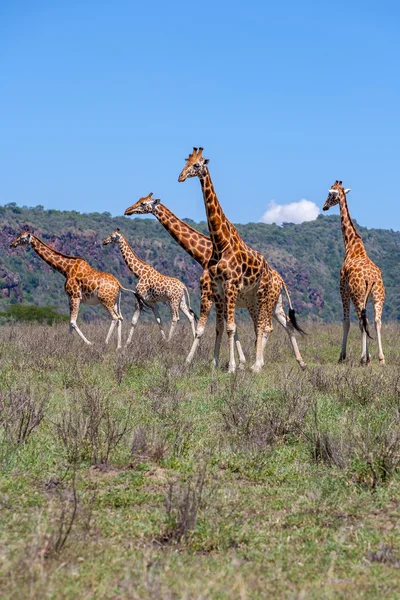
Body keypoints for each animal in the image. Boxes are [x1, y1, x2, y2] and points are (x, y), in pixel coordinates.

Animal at [125, 195, 306, 370]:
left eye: (143, 203)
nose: (128, 210)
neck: (205, 255)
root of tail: (280, 279)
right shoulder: (221, 297)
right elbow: (227, 327)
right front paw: (236, 362)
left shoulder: (209, 293)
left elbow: (219, 327)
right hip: (274, 304)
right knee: (285, 324)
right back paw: (299, 363)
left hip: (260, 302)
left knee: (265, 326)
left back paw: (258, 363)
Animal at [322, 180, 384, 364]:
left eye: (330, 194)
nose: (324, 206)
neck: (351, 245)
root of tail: (371, 278)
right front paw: (369, 356)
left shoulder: (343, 289)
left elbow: (347, 322)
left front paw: (342, 356)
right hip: (377, 295)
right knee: (376, 320)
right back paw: (381, 358)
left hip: (357, 294)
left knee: (363, 321)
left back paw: (363, 358)